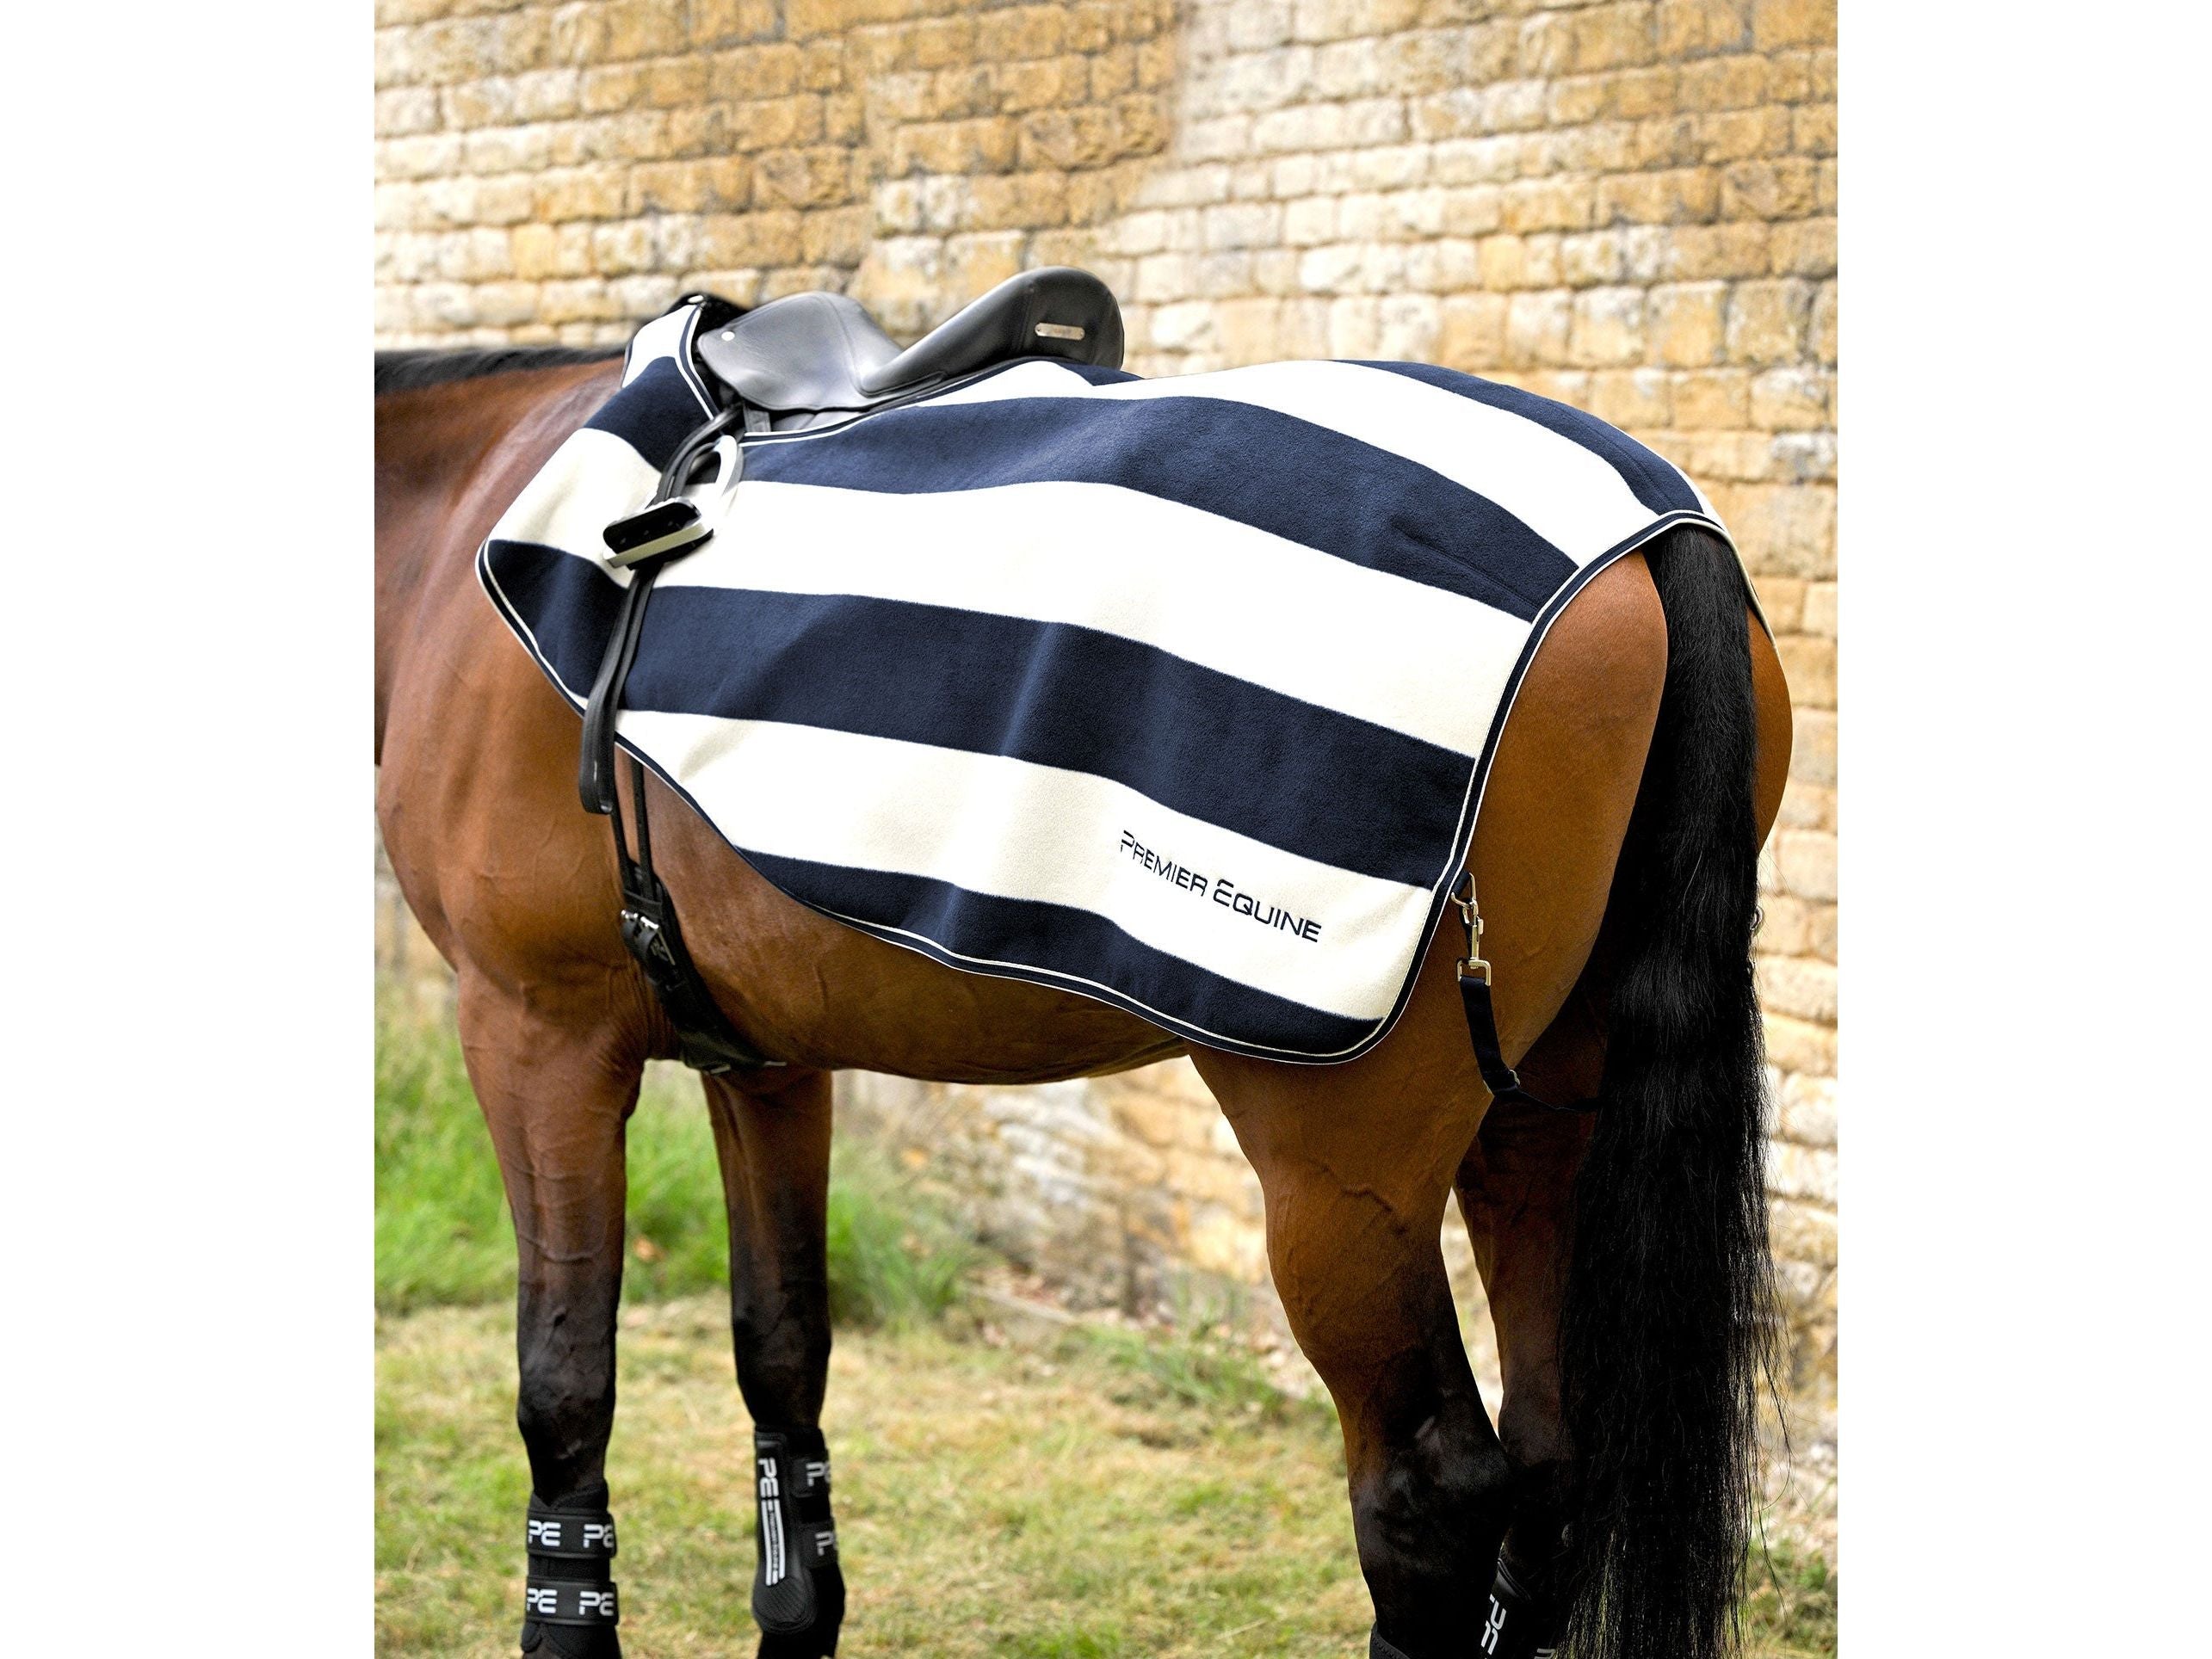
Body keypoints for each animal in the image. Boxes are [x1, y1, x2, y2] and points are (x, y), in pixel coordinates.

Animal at [375, 322, 1793, 1659]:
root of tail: (1651, 538)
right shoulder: (765, 1060)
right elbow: (781, 1349)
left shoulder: (535, 1035)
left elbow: (564, 1382)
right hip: (1539, 1121)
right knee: (1553, 1453)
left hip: (1343, 1167)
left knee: (1430, 1491)